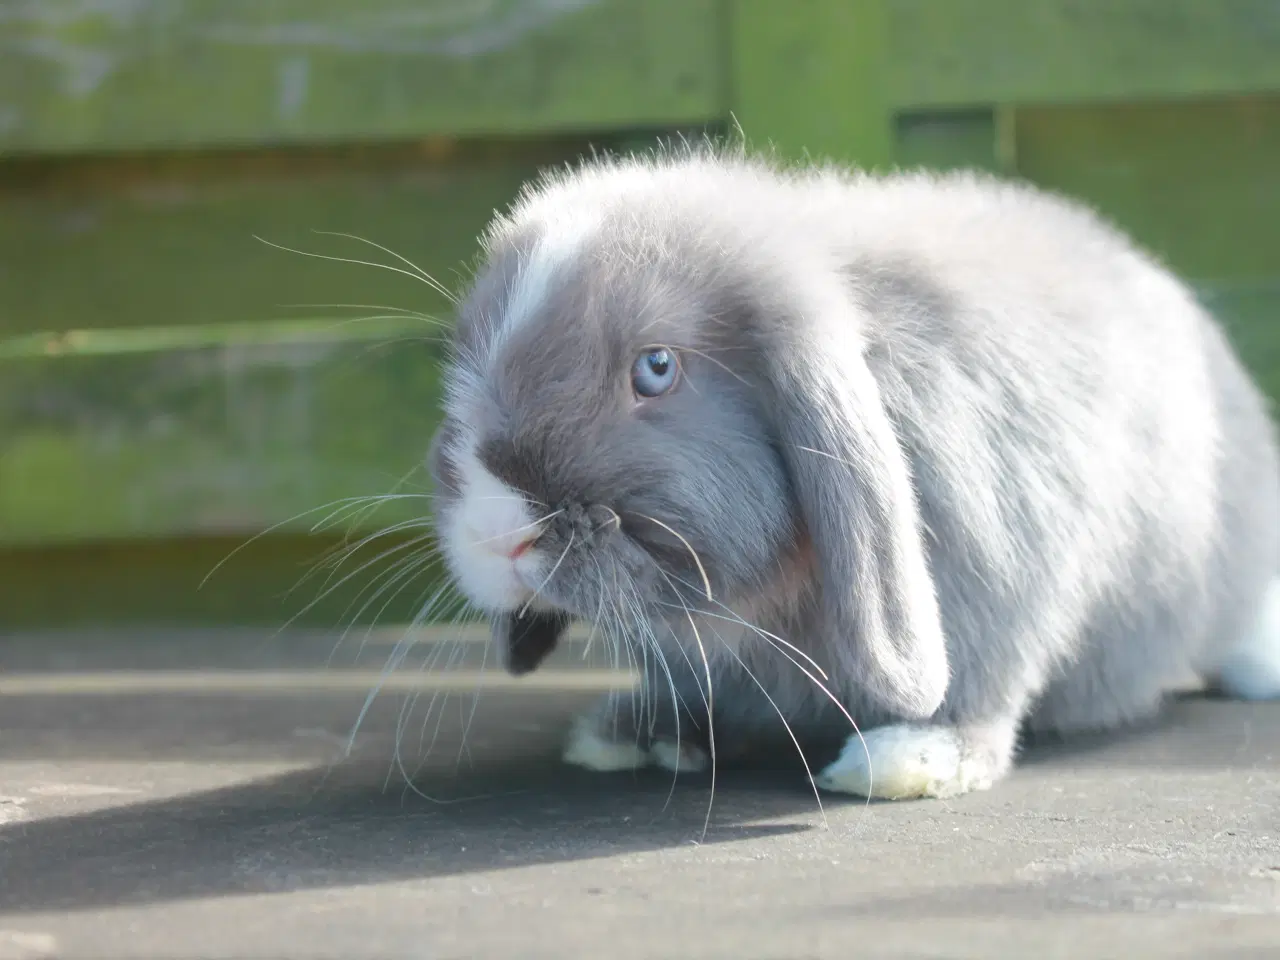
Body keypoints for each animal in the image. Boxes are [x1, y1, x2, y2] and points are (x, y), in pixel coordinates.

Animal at [427, 142, 1280, 798]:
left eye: (656, 368)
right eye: (460, 360)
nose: (497, 532)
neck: (763, 607)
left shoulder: (1002, 577)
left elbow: (983, 682)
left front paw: (913, 759)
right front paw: (638, 732)